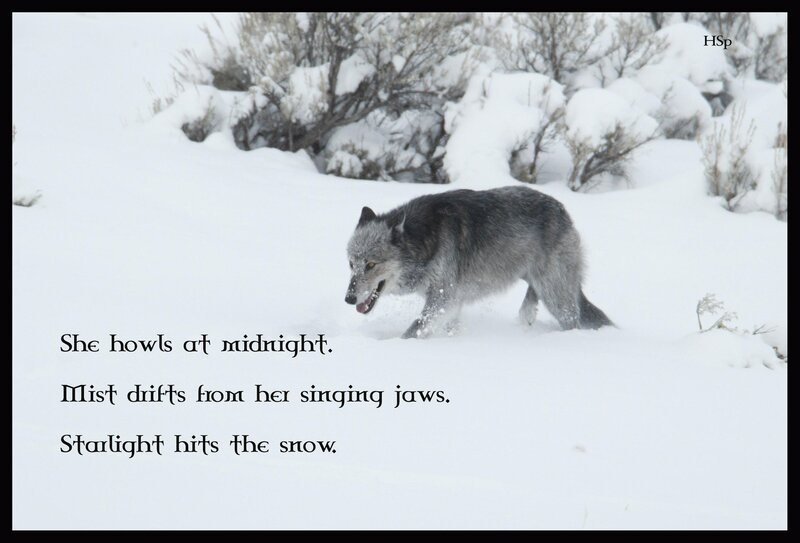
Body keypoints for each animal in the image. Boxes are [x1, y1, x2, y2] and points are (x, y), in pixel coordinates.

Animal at [344, 185, 612, 338]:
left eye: (371, 264)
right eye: (351, 264)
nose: (348, 298)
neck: (423, 240)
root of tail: (563, 211)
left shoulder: (444, 299)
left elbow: (412, 331)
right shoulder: (449, 304)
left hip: (556, 296)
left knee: (572, 321)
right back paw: (526, 318)